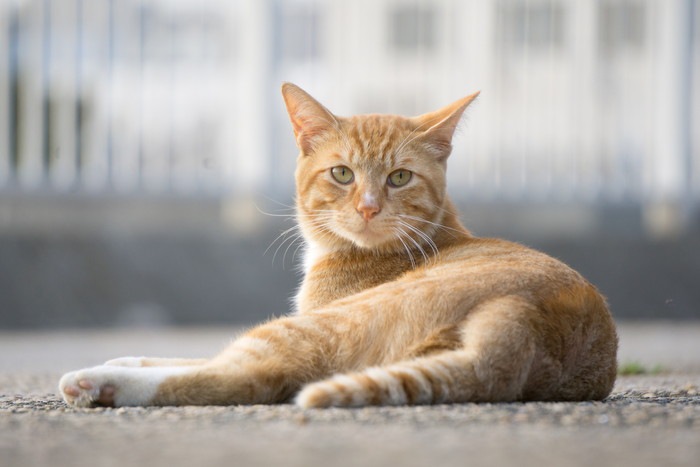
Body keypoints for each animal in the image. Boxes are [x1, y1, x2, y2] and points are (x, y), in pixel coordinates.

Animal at [60, 84, 616, 410]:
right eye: (343, 173)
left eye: (399, 177)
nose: (368, 207)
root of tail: (528, 321)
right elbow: (192, 354)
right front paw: (128, 356)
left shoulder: (314, 317)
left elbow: (209, 364)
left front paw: (119, 368)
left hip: (319, 328)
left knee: (248, 376)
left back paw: (95, 384)